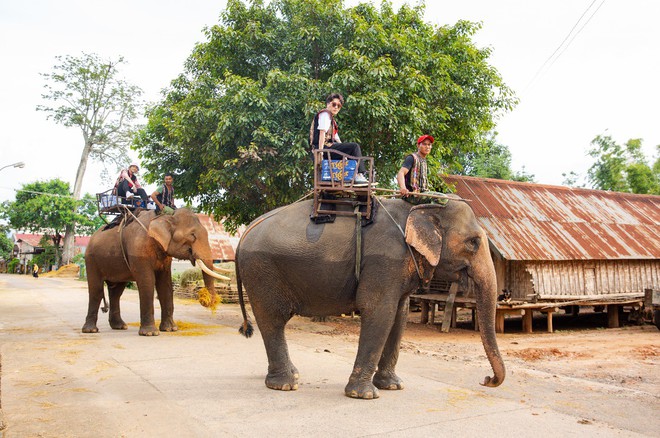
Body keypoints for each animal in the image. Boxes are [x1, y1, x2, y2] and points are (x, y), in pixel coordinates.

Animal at [79, 208, 224, 336]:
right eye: (192, 235)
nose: (204, 300)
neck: (165, 216)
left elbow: (165, 284)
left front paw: (170, 329)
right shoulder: (138, 250)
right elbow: (147, 281)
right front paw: (150, 333)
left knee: (116, 292)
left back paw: (120, 326)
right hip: (91, 260)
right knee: (96, 290)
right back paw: (91, 330)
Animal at [237, 198, 506, 400]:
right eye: (473, 243)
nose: (486, 379)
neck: (421, 208)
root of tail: (244, 234)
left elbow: (399, 316)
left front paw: (393, 386)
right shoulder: (384, 262)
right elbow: (380, 313)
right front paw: (364, 394)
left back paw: (293, 376)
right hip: (262, 271)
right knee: (273, 320)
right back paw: (285, 384)